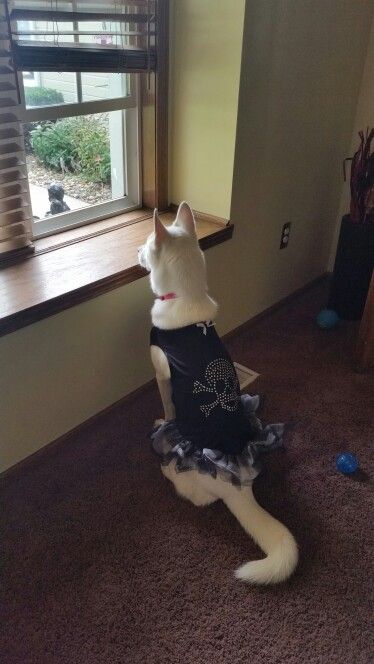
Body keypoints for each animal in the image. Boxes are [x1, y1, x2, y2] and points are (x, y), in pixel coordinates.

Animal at [137, 204, 298, 588]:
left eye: (148, 243)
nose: (136, 253)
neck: (185, 295)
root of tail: (238, 486)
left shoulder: (161, 375)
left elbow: (167, 405)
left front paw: (163, 420)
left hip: (188, 477)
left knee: (194, 495)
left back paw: (166, 467)